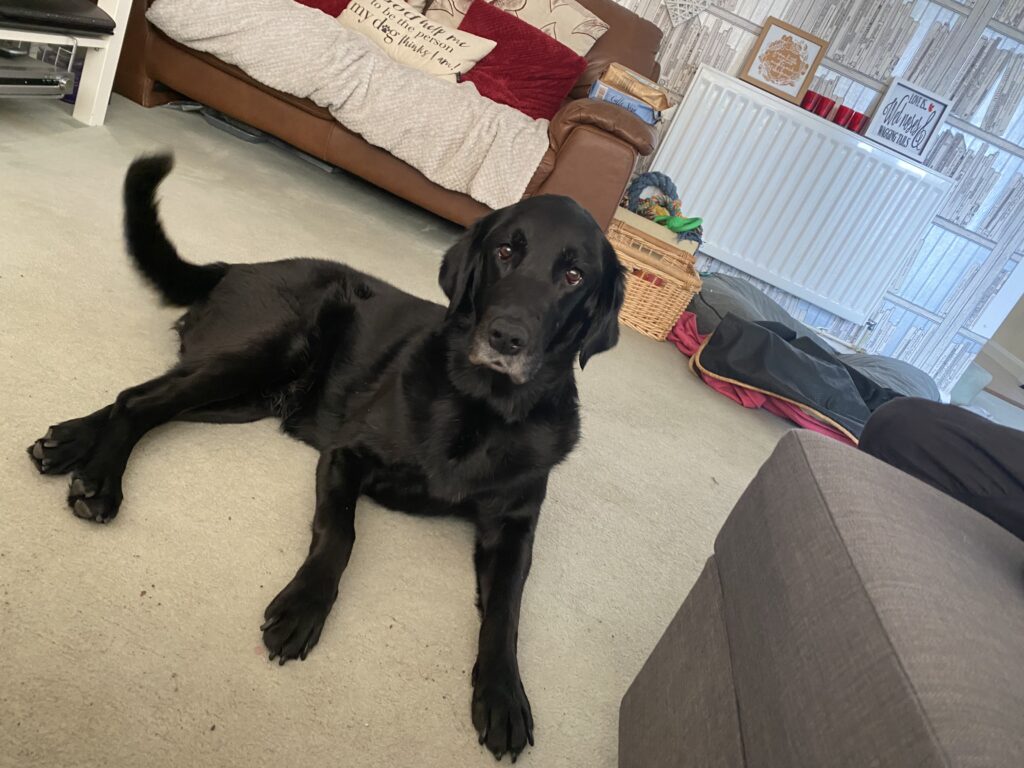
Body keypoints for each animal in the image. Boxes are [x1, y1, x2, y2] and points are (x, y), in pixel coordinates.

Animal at [29, 156, 622, 765]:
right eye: (506, 250)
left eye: (574, 276)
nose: (506, 336)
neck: (482, 408)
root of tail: (236, 267)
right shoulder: (345, 456)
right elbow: (340, 533)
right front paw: (303, 608)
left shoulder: (514, 527)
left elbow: (507, 609)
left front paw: (504, 694)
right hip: (267, 350)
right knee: (140, 400)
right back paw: (100, 481)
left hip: (241, 400)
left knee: (148, 397)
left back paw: (69, 445)